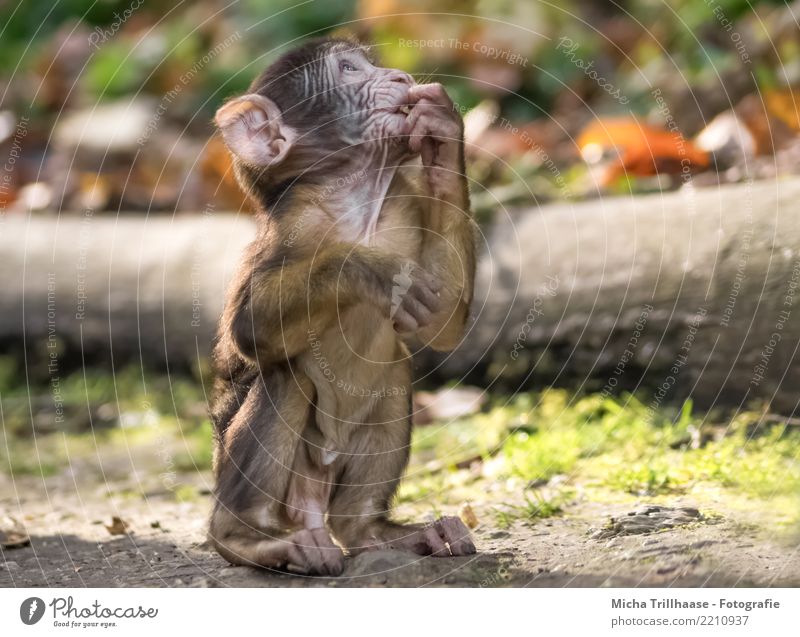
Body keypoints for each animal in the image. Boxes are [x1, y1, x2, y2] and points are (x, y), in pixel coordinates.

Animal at [209, 37, 478, 572]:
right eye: (350, 70)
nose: (400, 77)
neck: (357, 201)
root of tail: (310, 507)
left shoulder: (404, 203)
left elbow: (440, 322)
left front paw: (442, 128)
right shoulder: (297, 223)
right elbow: (249, 330)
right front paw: (373, 270)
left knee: (395, 368)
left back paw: (374, 531)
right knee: (285, 373)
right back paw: (245, 537)